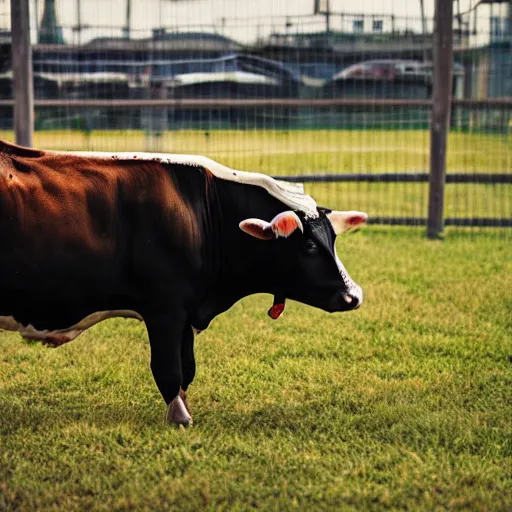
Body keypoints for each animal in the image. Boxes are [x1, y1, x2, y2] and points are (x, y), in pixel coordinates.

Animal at [1, 138, 368, 426]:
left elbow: (186, 368)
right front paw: (179, 418)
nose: (354, 295)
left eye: (333, 239)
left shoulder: (187, 313)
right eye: (308, 246)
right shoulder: (164, 310)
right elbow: (168, 368)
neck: (204, 209)